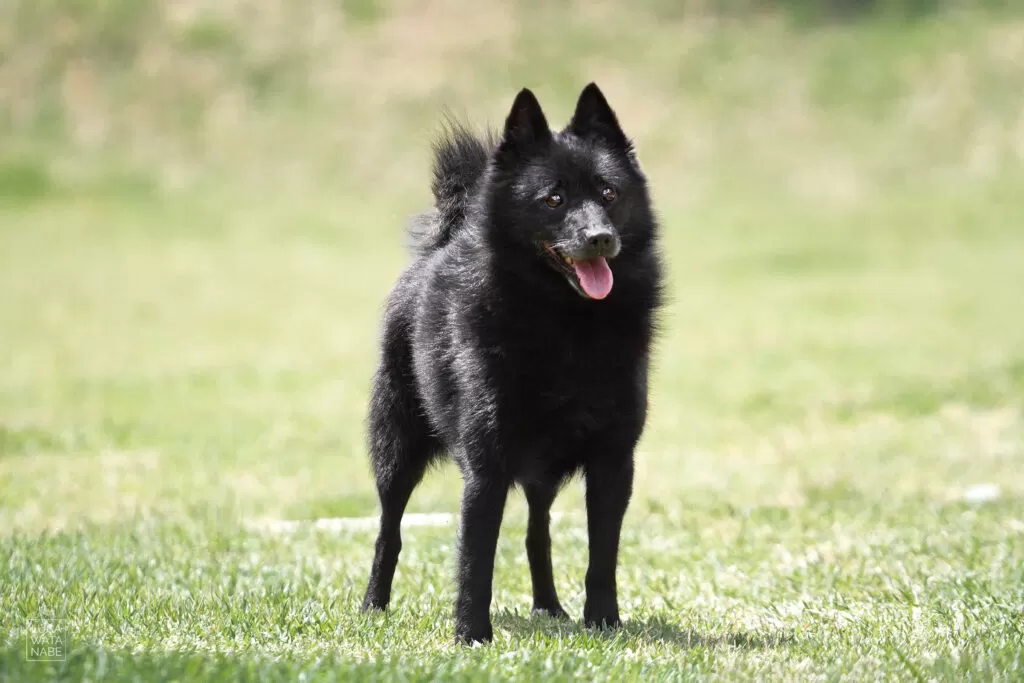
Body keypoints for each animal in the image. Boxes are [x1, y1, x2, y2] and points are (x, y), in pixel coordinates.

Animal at [360, 82, 663, 643]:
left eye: (609, 194)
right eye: (553, 198)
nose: (600, 238)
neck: (567, 325)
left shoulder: (614, 460)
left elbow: (602, 554)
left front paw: (604, 623)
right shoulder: (487, 462)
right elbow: (475, 555)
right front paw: (470, 634)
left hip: (541, 472)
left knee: (536, 533)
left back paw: (549, 607)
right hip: (396, 446)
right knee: (389, 529)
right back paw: (373, 603)